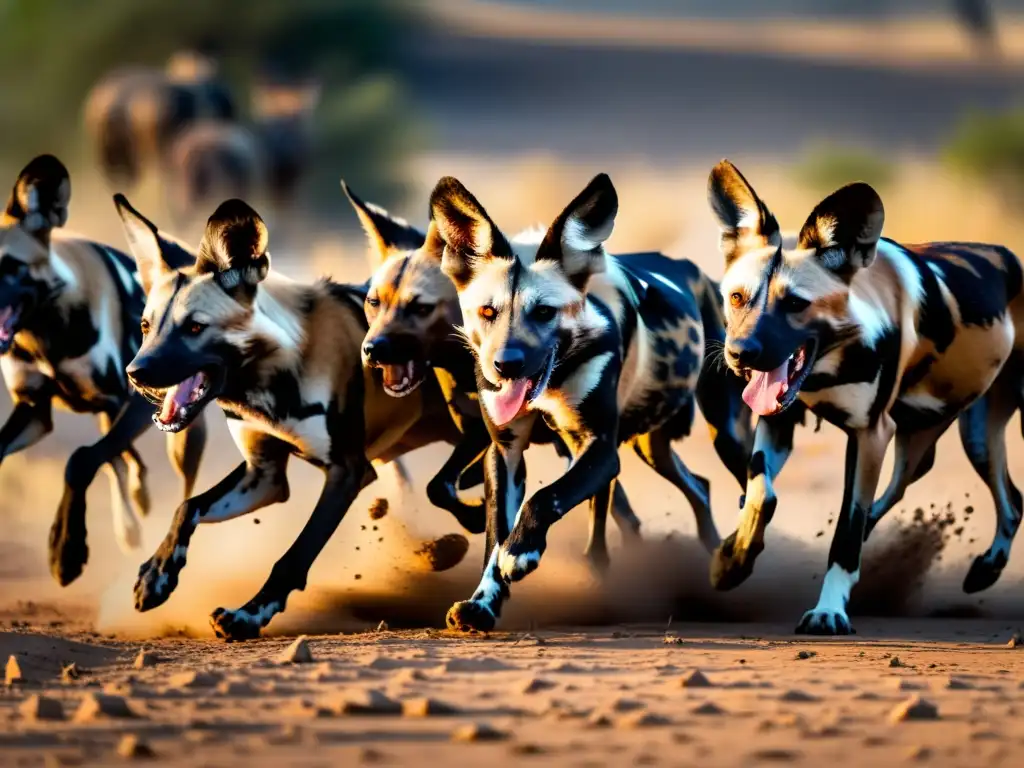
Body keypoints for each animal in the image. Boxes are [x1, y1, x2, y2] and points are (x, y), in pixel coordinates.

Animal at [0, 157, 207, 589]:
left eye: (11, 267)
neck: (45, 333)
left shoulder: (135, 404)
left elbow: (80, 460)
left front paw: (65, 553)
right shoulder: (35, 411)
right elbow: (98, 459)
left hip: (182, 439)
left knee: (167, 481)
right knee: (121, 463)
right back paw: (133, 514)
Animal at [116, 195, 464, 638]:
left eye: (195, 327)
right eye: (146, 326)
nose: (135, 374)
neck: (275, 372)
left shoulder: (347, 472)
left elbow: (293, 557)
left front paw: (249, 614)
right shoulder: (263, 476)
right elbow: (187, 506)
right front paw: (157, 576)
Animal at [344, 184, 647, 561]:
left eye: (420, 307)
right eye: (373, 302)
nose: (372, 350)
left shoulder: (484, 438)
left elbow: (443, 485)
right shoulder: (481, 436)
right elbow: (441, 487)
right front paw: (476, 518)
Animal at [423, 174, 753, 630]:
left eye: (545, 312)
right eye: (488, 311)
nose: (505, 365)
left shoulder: (597, 448)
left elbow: (544, 499)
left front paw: (521, 552)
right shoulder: (505, 454)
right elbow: (494, 538)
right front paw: (483, 603)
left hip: (725, 434)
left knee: (750, 490)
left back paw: (733, 562)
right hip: (646, 446)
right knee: (696, 488)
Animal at [708, 159, 1024, 634]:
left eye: (796, 304)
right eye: (737, 297)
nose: (740, 354)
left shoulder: (869, 435)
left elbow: (845, 533)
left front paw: (828, 611)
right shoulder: (780, 420)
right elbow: (763, 494)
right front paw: (733, 559)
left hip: (969, 437)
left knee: (1007, 502)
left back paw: (986, 566)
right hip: (947, 434)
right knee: (911, 486)